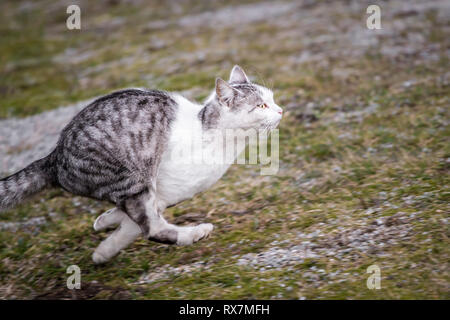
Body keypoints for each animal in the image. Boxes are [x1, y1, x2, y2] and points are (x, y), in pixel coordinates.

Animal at [0, 65, 282, 262]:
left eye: (272, 99)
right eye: (261, 105)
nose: (280, 110)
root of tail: (55, 156)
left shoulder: (164, 194)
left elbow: (128, 226)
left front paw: (103, 246)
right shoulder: (153, 189)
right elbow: (144, 225)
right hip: (129, 177)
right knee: (154, 229)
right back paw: (196, 233)